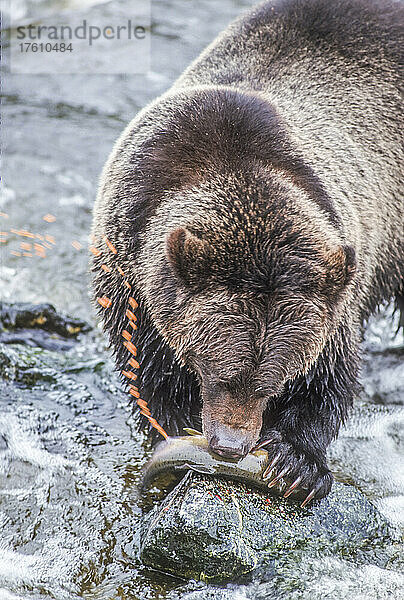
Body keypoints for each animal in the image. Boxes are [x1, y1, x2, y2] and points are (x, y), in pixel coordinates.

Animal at [91, 0, 404, 506]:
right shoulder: (130, 276)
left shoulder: (338, 281)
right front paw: (175, 435)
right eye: (219, 371)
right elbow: (149, 373)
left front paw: (297, 462)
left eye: (272, 383)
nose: (230, 446)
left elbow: (329, 379)